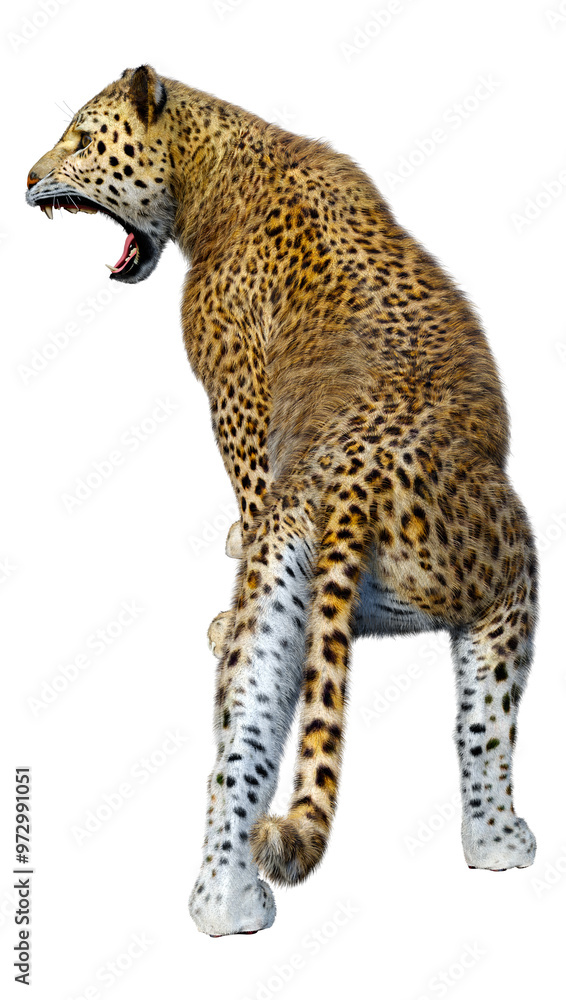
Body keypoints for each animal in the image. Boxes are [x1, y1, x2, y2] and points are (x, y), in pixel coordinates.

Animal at [26, 65, 538, 937]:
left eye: (84, 141)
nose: (27, 178)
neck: (212, 168)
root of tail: (356, 474)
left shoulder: (236, 398)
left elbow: (247, 482)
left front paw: (233, 540)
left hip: (313, 586)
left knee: (248, 733)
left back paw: (225, 902)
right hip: (502, 572)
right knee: (476, 720)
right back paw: (492, 843)